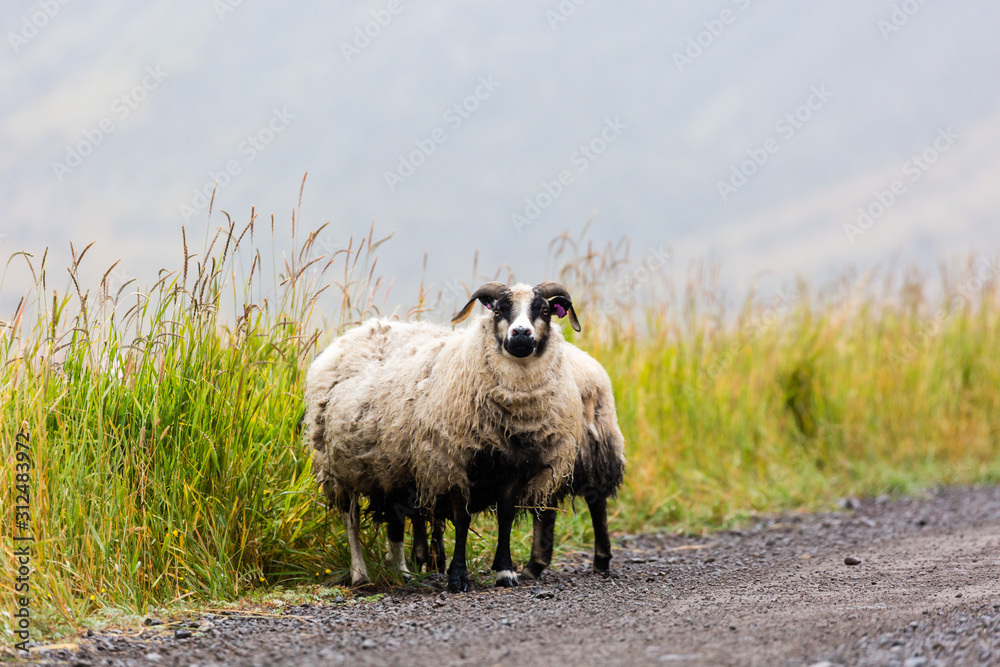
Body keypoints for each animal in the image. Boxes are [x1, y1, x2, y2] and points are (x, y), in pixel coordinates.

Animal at [303, 281, 586, 592]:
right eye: (498, 310)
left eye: (545, 310)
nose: (521, 334)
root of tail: (355, 333)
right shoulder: (452, 461)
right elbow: (462, 519)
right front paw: (458, 576)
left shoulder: (512, 468)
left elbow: (506, 517)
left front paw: (505, 571)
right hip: (338, 465)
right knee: (350, 518)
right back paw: (360, 575)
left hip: (390, 465)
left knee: (394, 520)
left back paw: (401, 572)